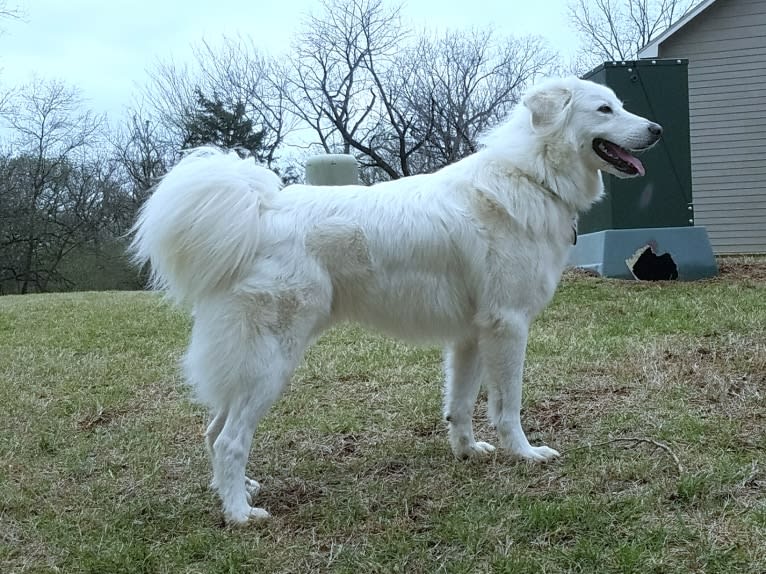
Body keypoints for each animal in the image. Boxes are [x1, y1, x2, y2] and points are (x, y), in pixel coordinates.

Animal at [129, 76, 664, 528]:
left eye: (620, 105)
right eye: (605, 109)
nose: (658, 129)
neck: (533, 175)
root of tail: (260, 210)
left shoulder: (471, 335)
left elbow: (460, 405)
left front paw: (468, 452)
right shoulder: (508, 326)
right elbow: (507, 405)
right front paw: (525, 454)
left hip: (250, 364)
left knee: (213, 431)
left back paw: (237, 492)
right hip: (271, 363)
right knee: (229, 440)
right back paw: (241, 514)